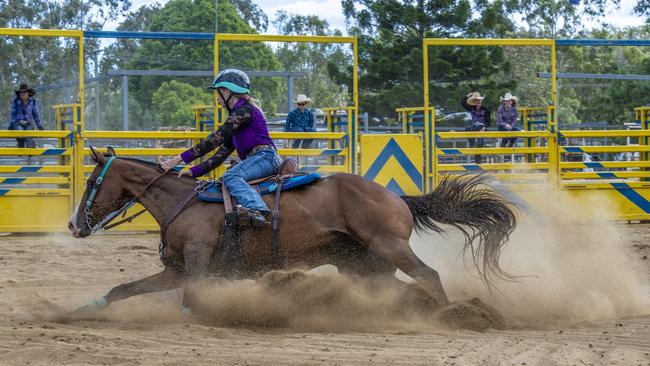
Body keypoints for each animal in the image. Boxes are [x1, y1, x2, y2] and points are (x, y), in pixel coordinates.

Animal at [66, 147, 512, 316]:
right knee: (400, 290)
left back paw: (453, 316)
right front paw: (77, 312)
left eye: (90, 182)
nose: (72, 225)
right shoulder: (174, 271)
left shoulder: (194, 266)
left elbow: (191, 301)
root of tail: (397, 196)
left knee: (428, 275)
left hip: (389, 246)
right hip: (363, 266)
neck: (182, 203)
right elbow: (123, 290)